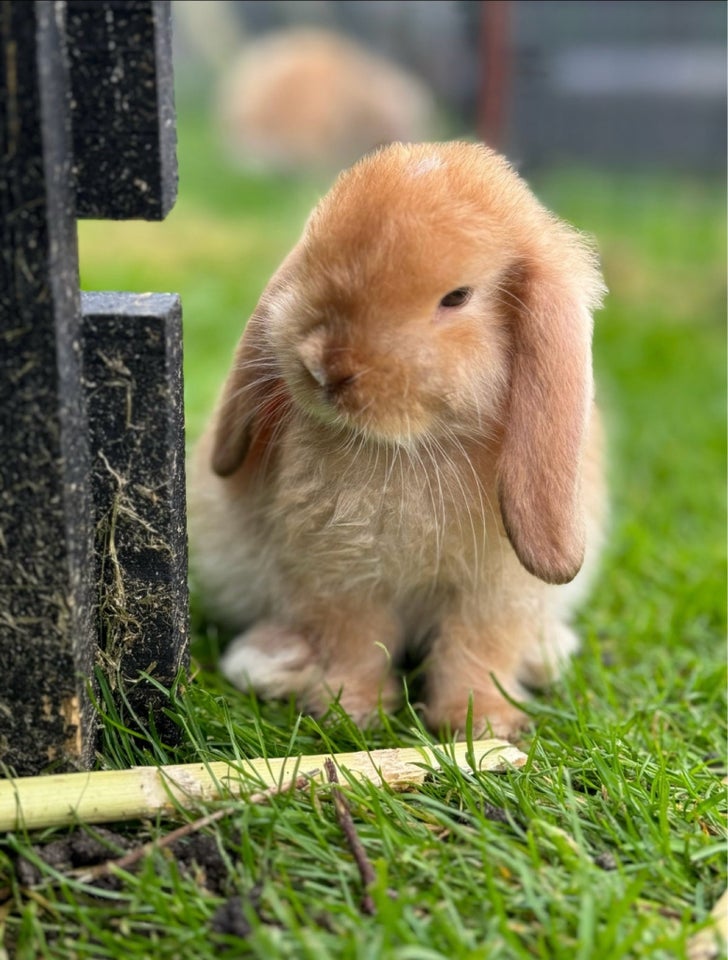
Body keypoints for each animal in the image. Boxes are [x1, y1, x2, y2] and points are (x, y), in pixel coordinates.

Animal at [185, 139, 604, 736]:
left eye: (457, 297)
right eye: (313, 257)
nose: (328, 367)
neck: (409, 448)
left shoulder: (495, 594)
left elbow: (477, 652)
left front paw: (480, 725)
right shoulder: (339, 579)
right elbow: (356, 643)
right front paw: (348, 712)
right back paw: (272, 661)